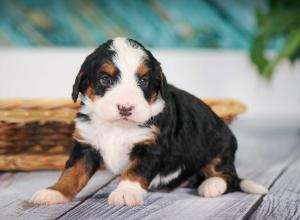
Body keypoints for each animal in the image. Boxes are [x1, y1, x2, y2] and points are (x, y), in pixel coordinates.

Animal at [31, 37, 268, 206]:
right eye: (105, 79)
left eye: (144, 81)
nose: (125, 107)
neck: (117, 126)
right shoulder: (85, 145)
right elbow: (72, 172)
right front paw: (54, 192)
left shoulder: (152, 147)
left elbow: (135, 170)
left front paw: (125, 192)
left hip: (220, 147)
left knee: (228, 176)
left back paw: (211, 186)